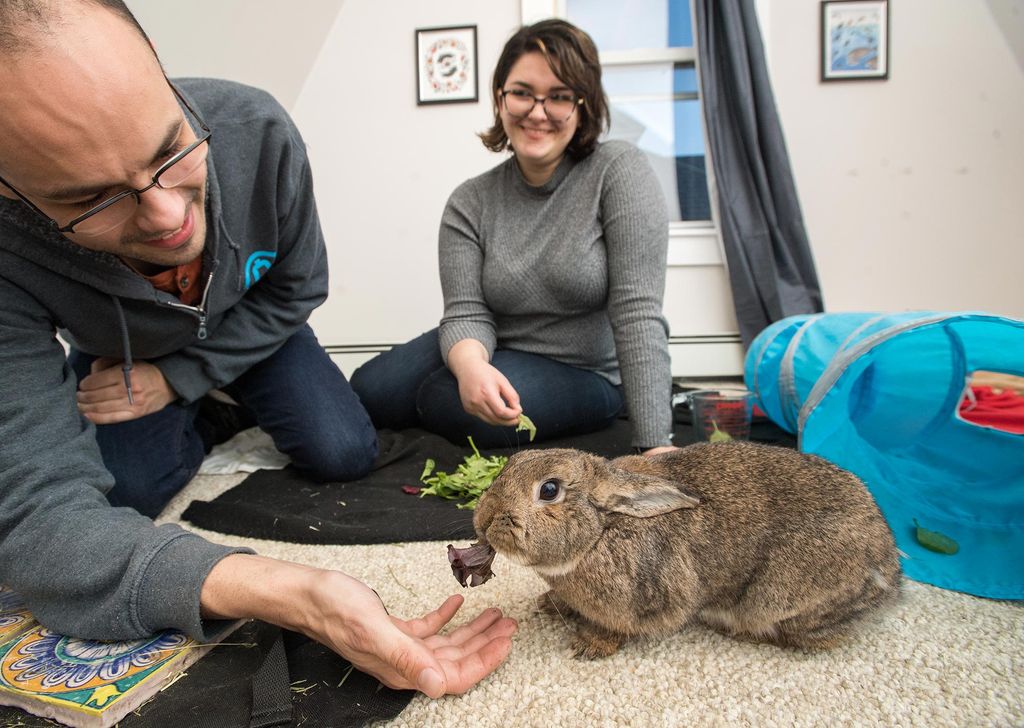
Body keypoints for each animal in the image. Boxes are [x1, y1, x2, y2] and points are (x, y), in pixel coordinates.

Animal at [468, 442, 901, 659]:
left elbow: (620, 627)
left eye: (549, 490)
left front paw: (590, 644)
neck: (602, 531)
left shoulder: (653, 600)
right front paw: (551, 603)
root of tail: (890, 572)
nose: (484, 519)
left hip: (781, 599)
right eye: (512, 462)